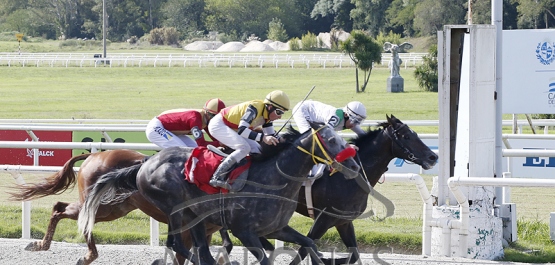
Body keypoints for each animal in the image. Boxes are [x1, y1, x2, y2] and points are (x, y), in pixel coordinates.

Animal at [7, 148, 227, 264]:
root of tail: (92, 156)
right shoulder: (187, 228)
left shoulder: (204, 231)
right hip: (103, 206)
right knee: (67, 212)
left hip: (115, 208)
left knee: (63, 208)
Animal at [78, 122, 360, 264]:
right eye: (330, 141)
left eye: (342, 139)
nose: (355, 166)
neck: (274, 178)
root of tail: (145, 163)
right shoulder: (244, 231)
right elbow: (266, 259)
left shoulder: (276, 229)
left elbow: (310, 244)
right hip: (174, 209)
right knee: (177, 244)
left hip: (195, 216)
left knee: (198, 249)